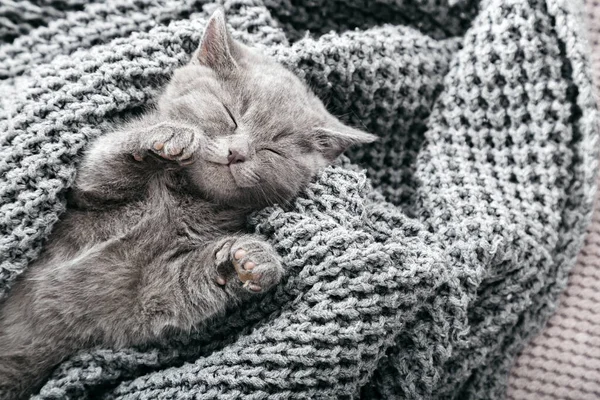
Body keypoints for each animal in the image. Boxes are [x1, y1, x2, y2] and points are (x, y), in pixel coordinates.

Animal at [0, 9, 376, 400]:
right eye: (230, 114)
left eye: (274, 149)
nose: (237, 152)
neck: (183, 198)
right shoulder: (86, 195)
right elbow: (107, 162)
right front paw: (167, 136)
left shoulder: (146, 293)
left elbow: (184, 286)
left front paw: (250, 259)